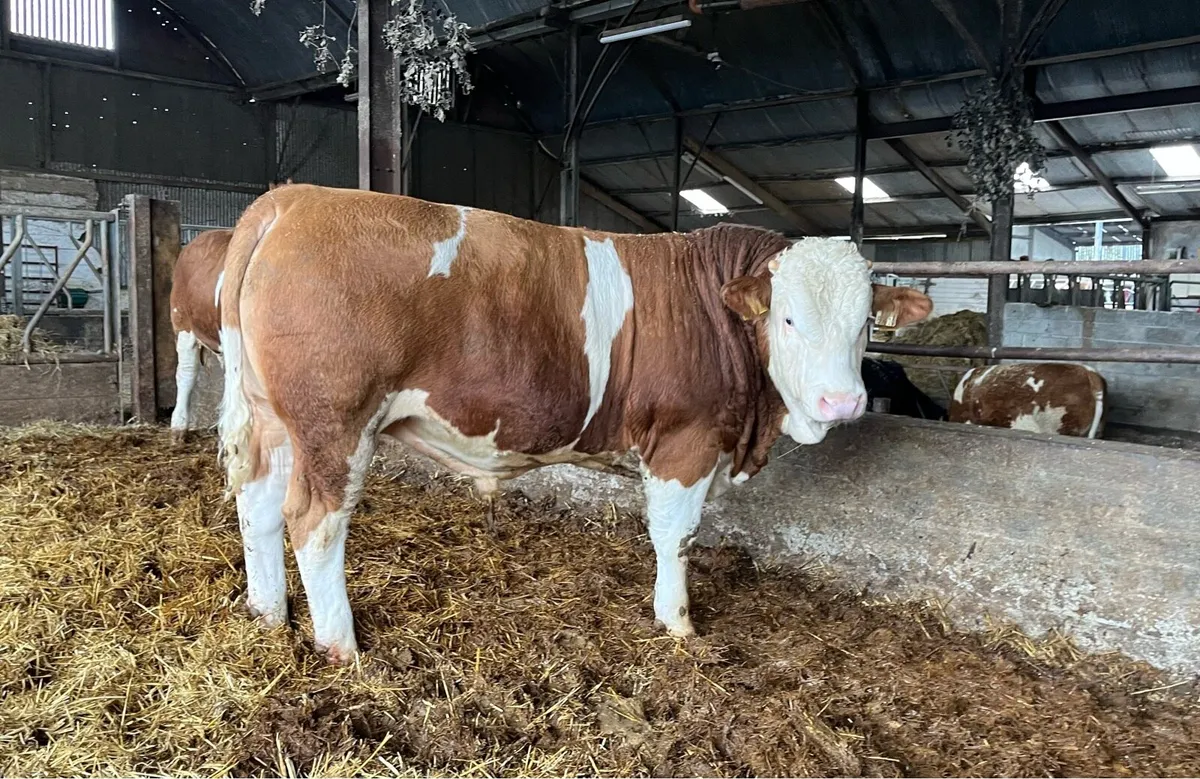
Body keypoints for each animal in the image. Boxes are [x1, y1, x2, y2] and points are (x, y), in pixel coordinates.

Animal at [216, 184, 933, 662]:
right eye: (787, 318)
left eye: (866, 322)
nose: (842, 402)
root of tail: (293, 199)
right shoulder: (686, 440)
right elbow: (675, 535)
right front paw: (677, 623)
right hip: (334, 422)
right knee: (314, 522)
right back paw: (343, 647)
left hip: (274, 421)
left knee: (258, 504)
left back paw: (267, 614)